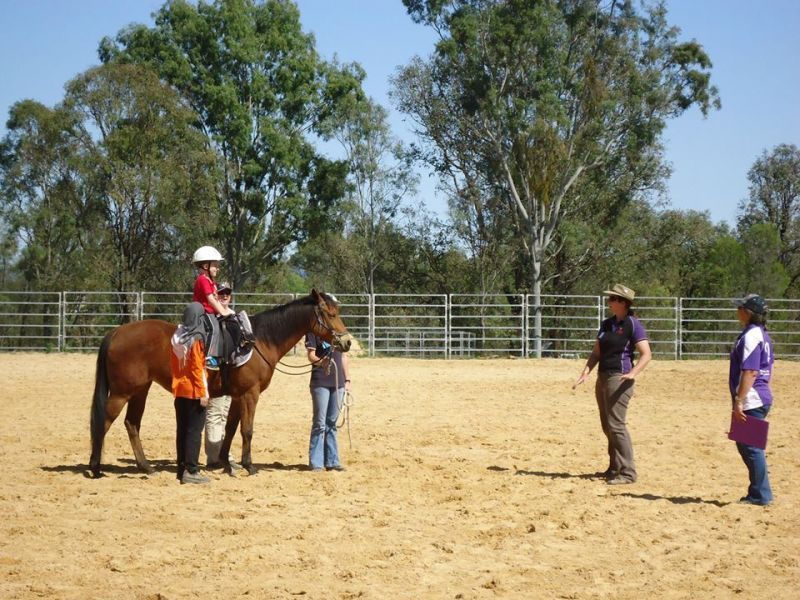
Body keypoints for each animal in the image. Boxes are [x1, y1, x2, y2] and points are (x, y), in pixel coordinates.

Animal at [89, 289, 352, 478]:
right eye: (330, 314)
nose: (347, 342)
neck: (259, 340)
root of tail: (117, 332)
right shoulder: (250, 394)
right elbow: (247, 430)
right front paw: (249, 466)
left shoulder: (236, 395)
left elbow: (231, 428)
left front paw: (225, 463)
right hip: (122, 392)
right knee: (104, 421)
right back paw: (95, 467)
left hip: (139, 390)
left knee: (132, 424)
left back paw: (145, 467)